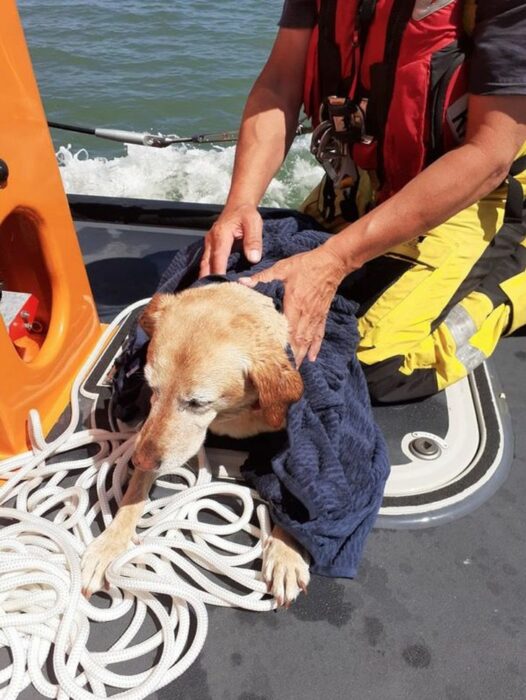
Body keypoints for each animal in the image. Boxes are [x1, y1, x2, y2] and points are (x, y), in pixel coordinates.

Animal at [82, 284, 312, 608]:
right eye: (151, 387)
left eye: (197, 402)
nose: (139, 460)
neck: (234, 414)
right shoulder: (150, 436)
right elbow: (135, 491)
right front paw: (110, 543)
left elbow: (291, 492)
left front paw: (286, 552)